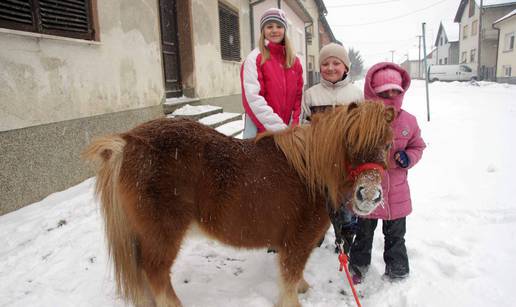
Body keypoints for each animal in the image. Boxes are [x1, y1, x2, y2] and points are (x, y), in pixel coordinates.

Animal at [82, 101, 394, 307]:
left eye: (389, 145)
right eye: (351, 142)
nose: (369, 195)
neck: (310, 170)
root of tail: (127, 142)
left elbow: (296, 274)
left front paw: (303, 287)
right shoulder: (298, 241)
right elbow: (290, 274)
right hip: (163, 235)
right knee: (156, 273)